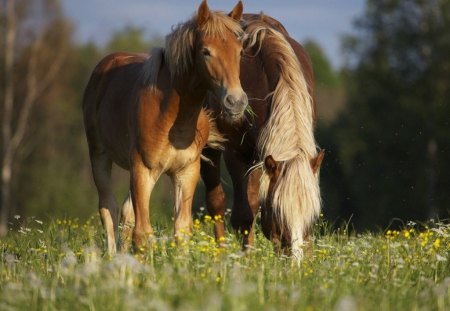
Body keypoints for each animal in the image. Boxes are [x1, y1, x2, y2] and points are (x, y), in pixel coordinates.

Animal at [82, 0, 248, 256]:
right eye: (206, 52)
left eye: (240, 51)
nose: (236, 101)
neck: (172, 118)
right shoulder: (143, 169)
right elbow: (142, 233)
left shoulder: (186, 172)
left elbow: (181, 230)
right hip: (100, 156)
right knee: (108, 208)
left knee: (125, 212)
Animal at [201, 13, 324, 260]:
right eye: (279, 211)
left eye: (312, 215)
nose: (296, 261)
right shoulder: (237, 154)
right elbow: (243, 216)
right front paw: (247, 260)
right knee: (216, 202)